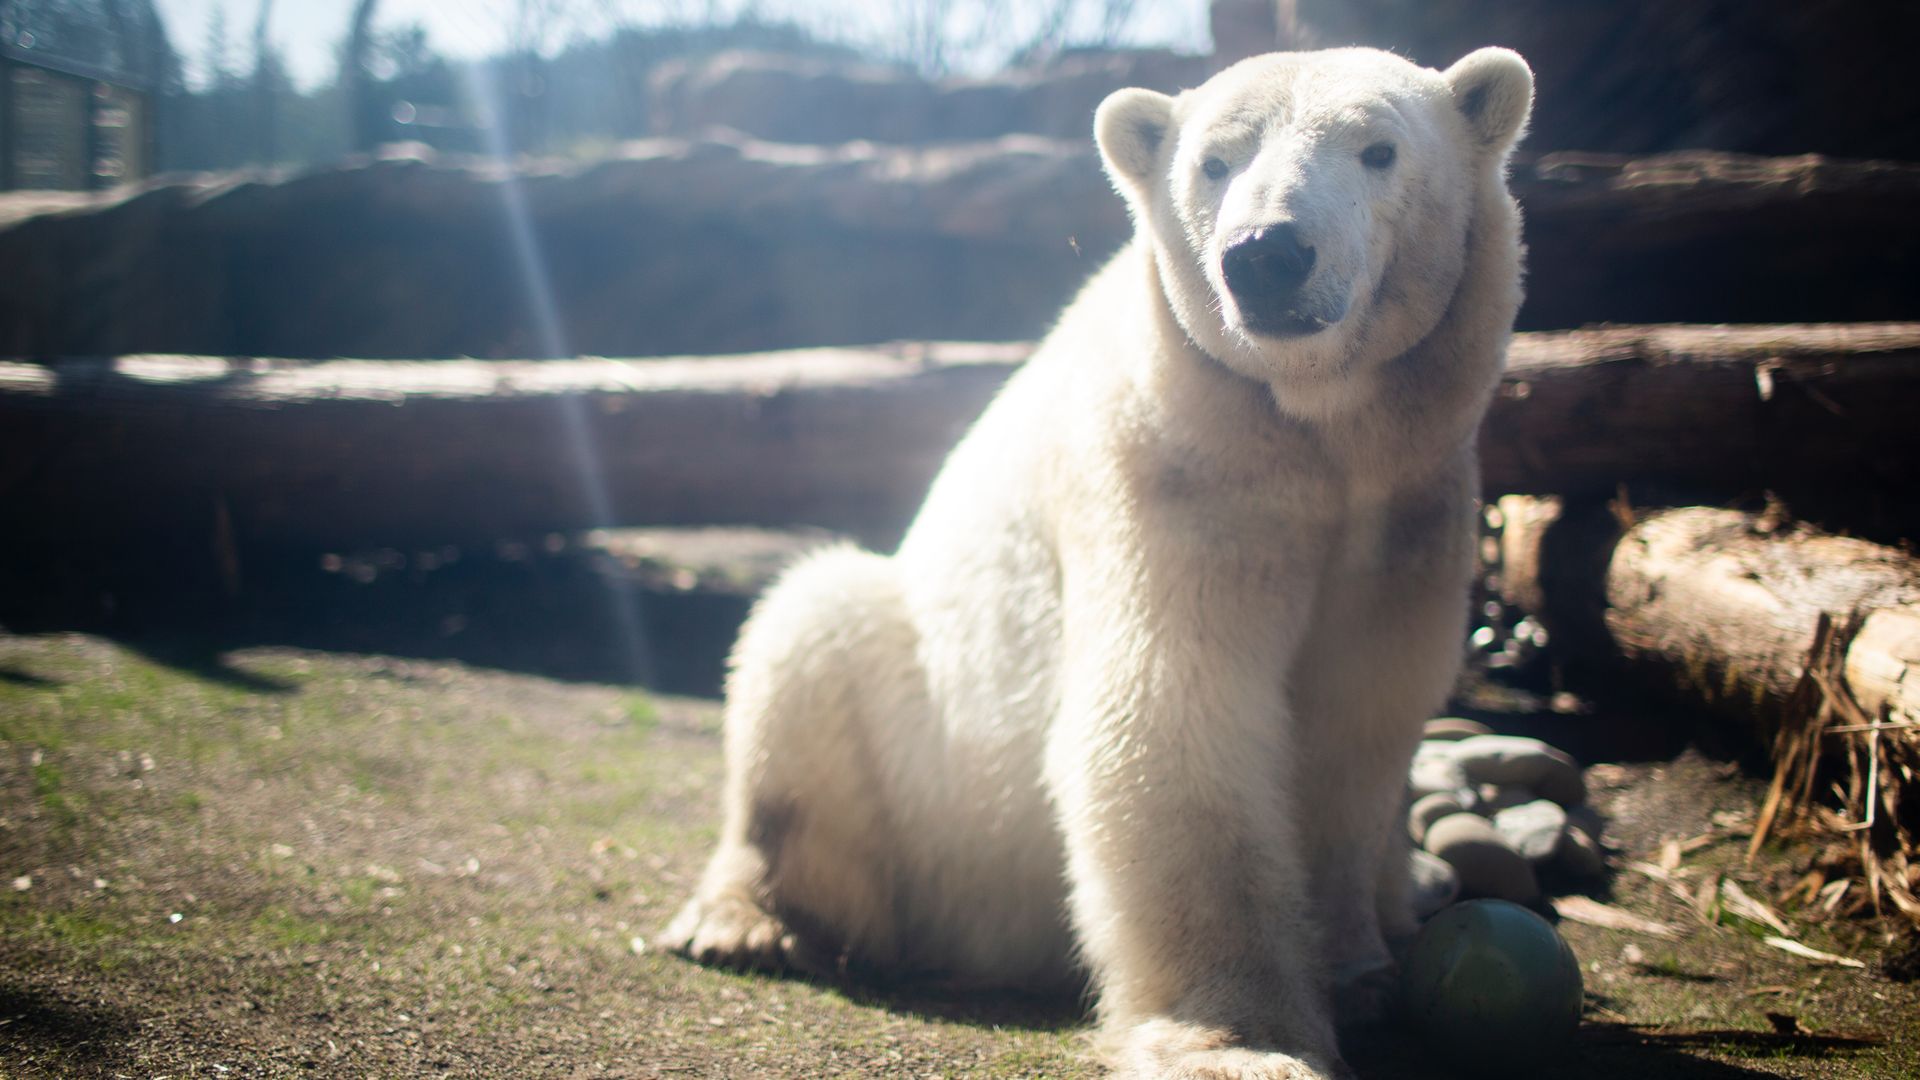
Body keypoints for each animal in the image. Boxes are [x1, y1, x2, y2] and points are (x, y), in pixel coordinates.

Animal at [666, 45, 1533, 1079]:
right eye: (1213, 162)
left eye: (1379, 149)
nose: (1266, 254)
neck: (1316, 439)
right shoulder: (1175, 478)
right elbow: (1172, 711)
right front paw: (1243, 1043)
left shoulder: (1411, 506)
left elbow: (1361, 718)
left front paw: (1354, 971)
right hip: (924, 776)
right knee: (810, 639)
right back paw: (741, 919)